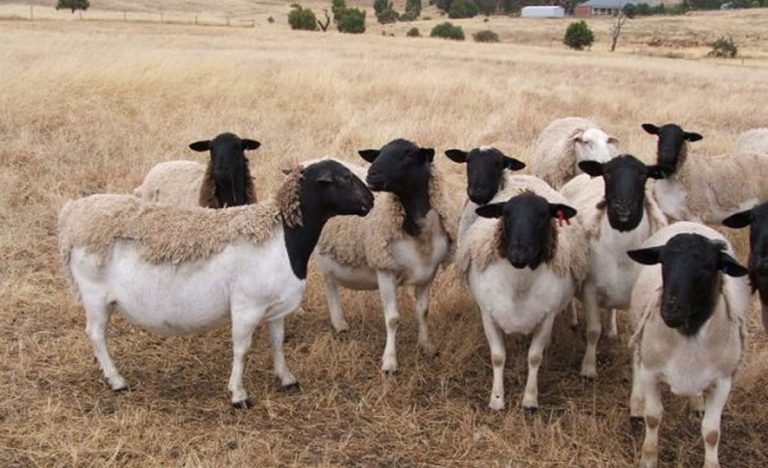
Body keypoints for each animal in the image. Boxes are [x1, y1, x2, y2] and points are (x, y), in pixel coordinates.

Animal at [59, 159, 374, 407]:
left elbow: (277, 343)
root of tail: (73, 215)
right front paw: (238, 395)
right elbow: (241, 350)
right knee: (96, 334)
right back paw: (116, 380)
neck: (284, 236)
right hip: (94, 293)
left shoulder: (275, 306)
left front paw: (286, 378)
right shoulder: (246, 306)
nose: (370, 200)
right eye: (345, 177)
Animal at [314, 139, 456, 373]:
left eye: (409, 154)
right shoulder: (385, 271)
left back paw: (340, 324)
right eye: (378, 153)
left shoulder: (429, 273)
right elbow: (392, 319)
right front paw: (389, 362)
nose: (371, 175)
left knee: (329, 283)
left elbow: (423, 311)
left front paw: (426, 346)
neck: (417, 230)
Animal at [456, 176, 588, 410]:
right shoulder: (488, 315)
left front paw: (529, 400)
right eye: (506, 214)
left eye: (544, 215)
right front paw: (497, 400)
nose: (518, 253)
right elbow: (498, 357)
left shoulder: (547, 318)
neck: (518, 286)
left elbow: (534, 357)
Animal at [559, 155, 668, 378]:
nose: (622, 206)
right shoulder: (590, 288)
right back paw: (573, 321)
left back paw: (611, 330)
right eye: (607, 173)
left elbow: (635, 336)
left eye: (643, 175)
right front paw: (588, 369)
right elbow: (593, 331)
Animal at [626, 222, 750, 468]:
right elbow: (652, 417)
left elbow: (712, 432)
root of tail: (690, 222)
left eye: (709, 266)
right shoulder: (651, 372)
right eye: (663, 261)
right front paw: (648, 458)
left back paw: (697, 403)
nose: (670, 311)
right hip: (638, 331)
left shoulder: (723, 382)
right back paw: (636, 404)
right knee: (636, 363)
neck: (688, 334)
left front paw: (712, 464)